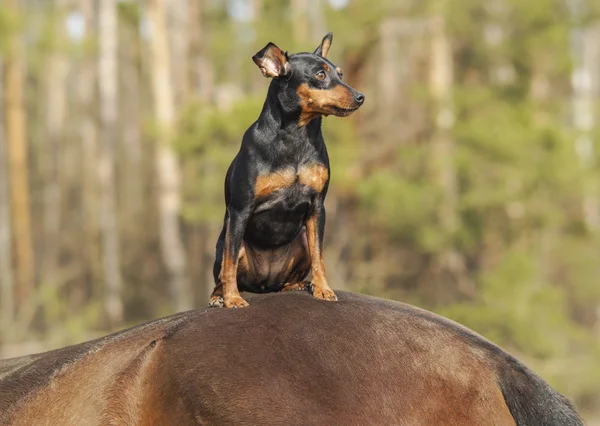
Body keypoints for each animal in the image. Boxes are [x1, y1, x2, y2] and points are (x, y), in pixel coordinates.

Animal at [209, 32, 364, 306]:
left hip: (300, 239)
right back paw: (220, 296)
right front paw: (232, 300)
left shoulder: (317, 206)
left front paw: (323, 289)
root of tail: (264, 284)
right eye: (320, 75)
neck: (296, 136)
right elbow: (229, 264)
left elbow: (319, 256)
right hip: (226, 241)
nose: (360, 97)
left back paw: (295, 285)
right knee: (224, 267)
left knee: (296, 271)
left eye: (340, 74)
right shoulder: (239, 210)